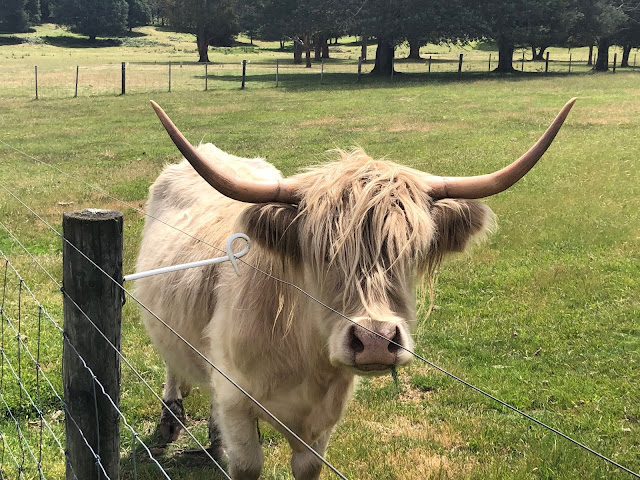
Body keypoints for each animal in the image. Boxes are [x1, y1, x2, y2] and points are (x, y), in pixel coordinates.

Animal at [135, 99, 576, 478]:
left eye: (410, 249)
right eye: (322, 252)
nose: (376, 341)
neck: (301, 361)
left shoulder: (320, 421)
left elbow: (306, 466)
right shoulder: (236, 403)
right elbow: (246, 463)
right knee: (172, 365)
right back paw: (171, 418)